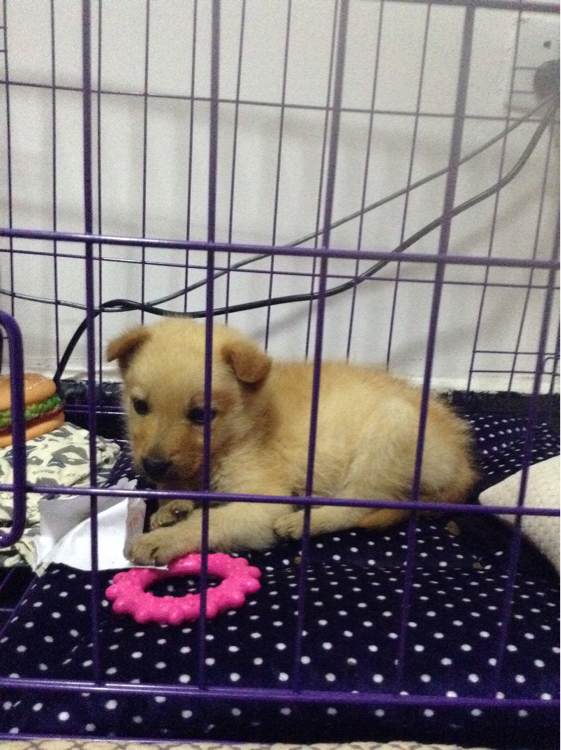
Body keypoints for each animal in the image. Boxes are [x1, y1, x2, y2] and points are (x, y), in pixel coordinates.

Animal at [107, 318, 476, 565]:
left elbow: (211, 522)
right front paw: (174, 505)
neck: (247, 426)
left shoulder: (262, 501)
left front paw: (162, 539)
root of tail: (461, 460)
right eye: (140, 406)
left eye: (200, 414)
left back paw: (303, 521)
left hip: (390, 432)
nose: (153, 465)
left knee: (358, 504)